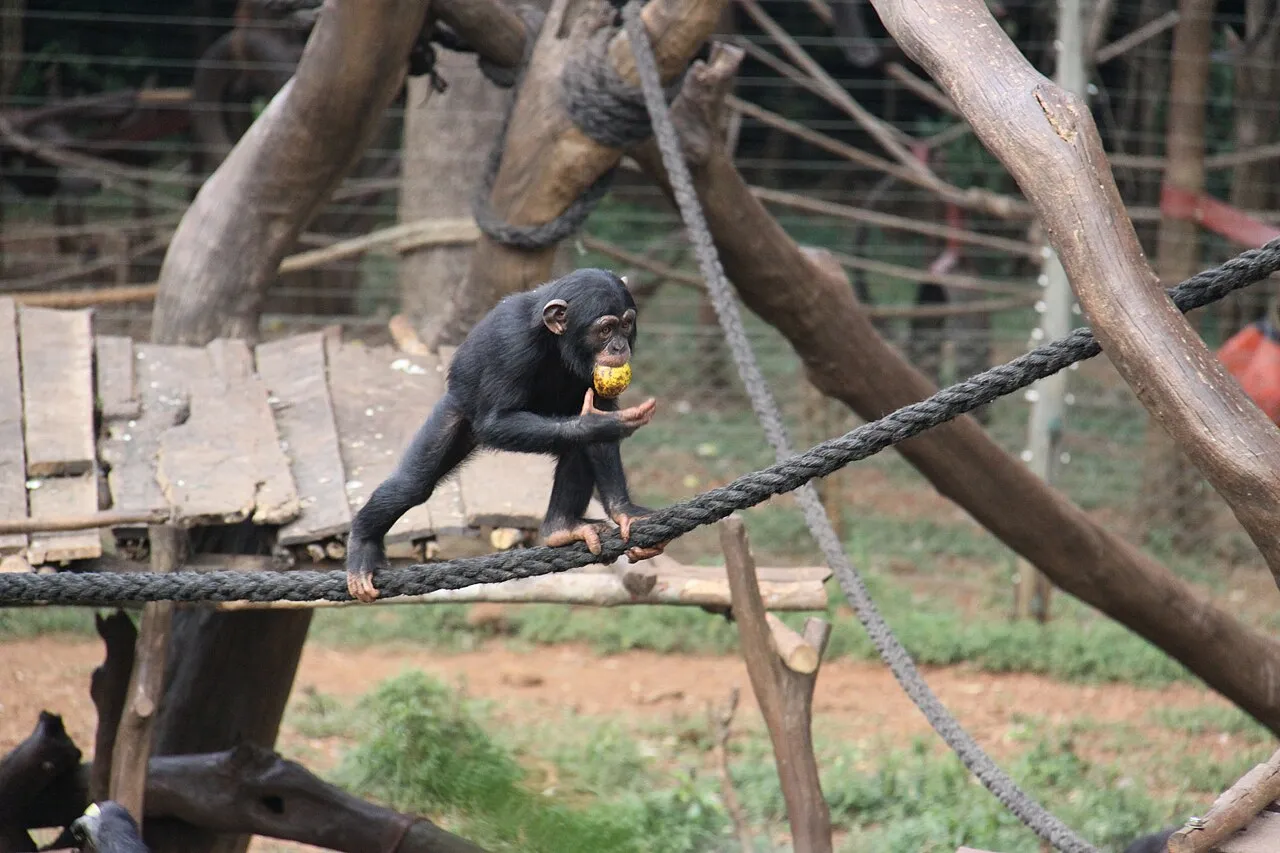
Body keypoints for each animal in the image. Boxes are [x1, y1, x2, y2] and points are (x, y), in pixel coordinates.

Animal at [345, 268, 668, 602]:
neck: (555, 340)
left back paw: (561, 528)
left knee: (575, 446)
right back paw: (363, 547)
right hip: (458, 407)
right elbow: (496, 421)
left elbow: (599, 426)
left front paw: (624, 511)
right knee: (412, 485)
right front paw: (601, 423)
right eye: (605, 329)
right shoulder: (511, 343)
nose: (619, 347)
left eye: (626, 324)